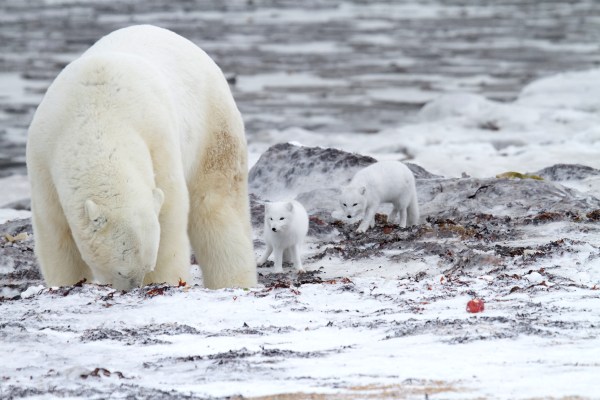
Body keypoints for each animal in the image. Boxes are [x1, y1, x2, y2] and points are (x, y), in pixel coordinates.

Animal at [25, 25, 256, 290]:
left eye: (147, 267)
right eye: (121, 271)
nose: (134, 288)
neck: (96, 118)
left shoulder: (158, 142)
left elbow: (169, 222)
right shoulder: (44, 158)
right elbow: (55, 235)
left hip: (212, 127)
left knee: (217, 206)